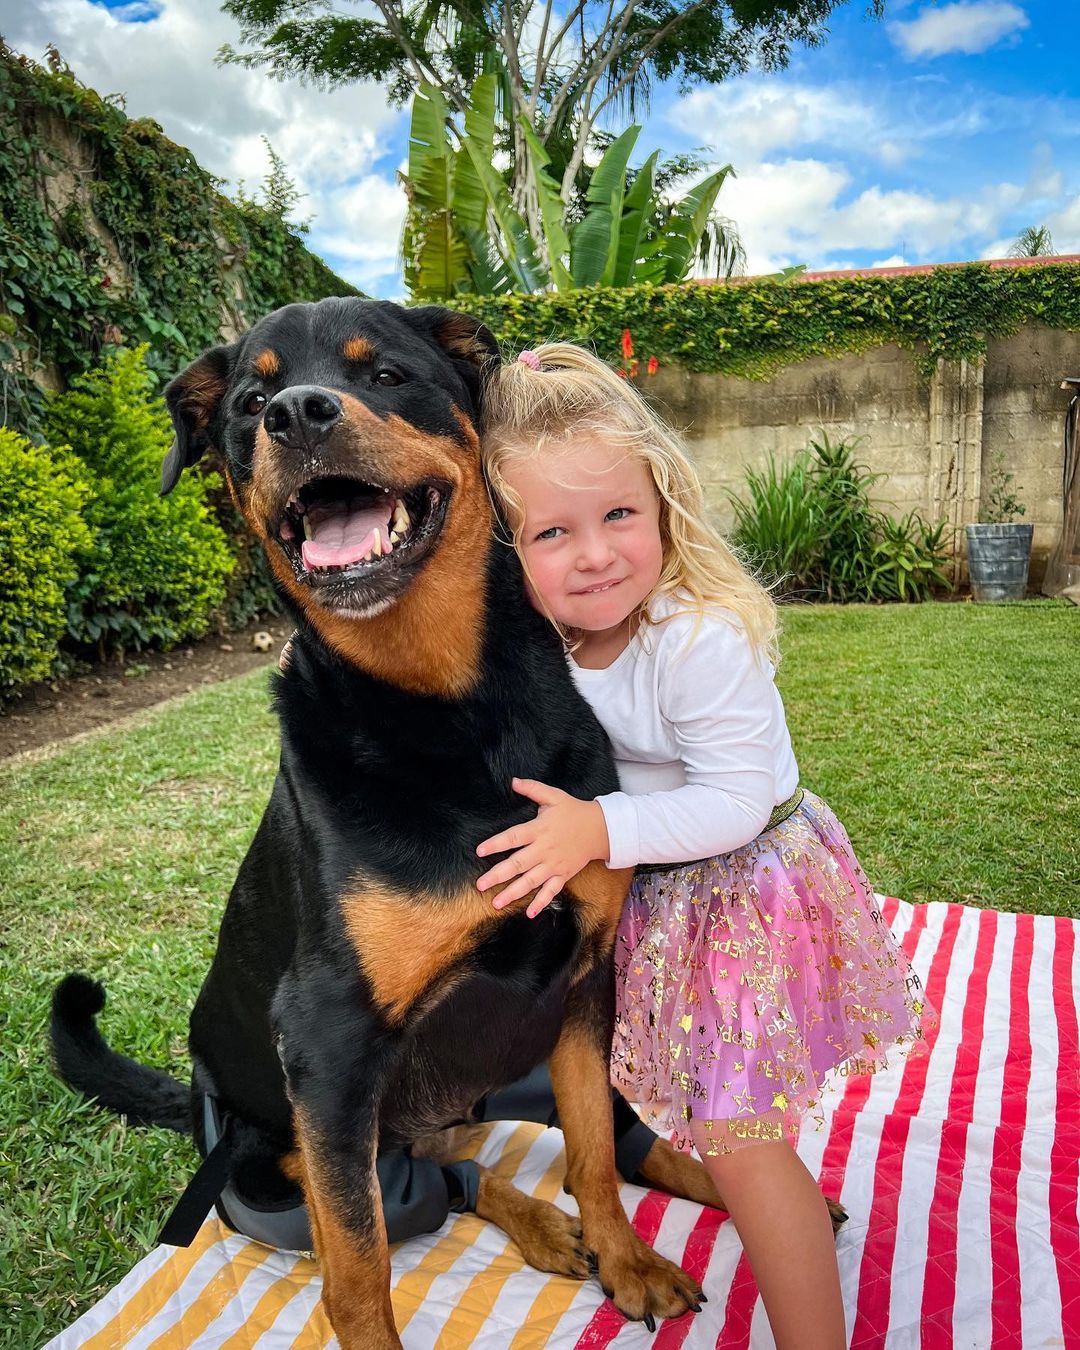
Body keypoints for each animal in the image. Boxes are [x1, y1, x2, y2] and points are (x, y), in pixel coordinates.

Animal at [52, 301, 718, 1344]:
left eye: (387, 376)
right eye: (249, 404)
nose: (297, 413)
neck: (452, 711)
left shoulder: (582, 984)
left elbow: (593, 1152)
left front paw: (626, 1258)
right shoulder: (328, 1050)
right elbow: (358, 1271)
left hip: (512, 1071)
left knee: (582, 1137)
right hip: (272, 1173)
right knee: (438, 1184)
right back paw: (536, 1222)